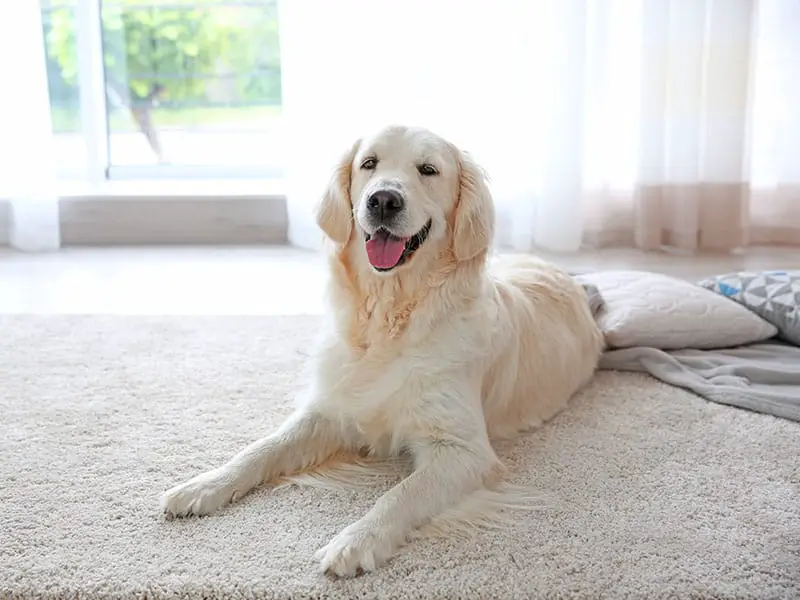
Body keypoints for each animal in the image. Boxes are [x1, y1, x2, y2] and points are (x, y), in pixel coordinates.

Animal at [161, 125, 600, 576]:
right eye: (368, 164)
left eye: (428, 170)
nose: (384, 200)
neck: (389, 317)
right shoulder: (330, 409)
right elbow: (262, 447)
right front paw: (205, 484)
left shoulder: (465, 451)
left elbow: (402, 494)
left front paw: (357, 541)